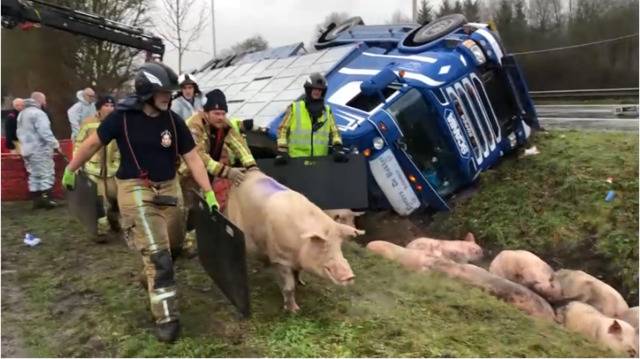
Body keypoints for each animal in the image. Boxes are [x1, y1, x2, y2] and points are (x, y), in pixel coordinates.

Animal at [225, 170, 364, 314]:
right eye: (323, 246)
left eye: (339, 245)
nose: (350, 276)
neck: (300, 245)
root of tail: (248, 173)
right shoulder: (280, 258)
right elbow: (289, 287)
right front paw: (294, 310)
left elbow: (298, 272)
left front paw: (302, 283)